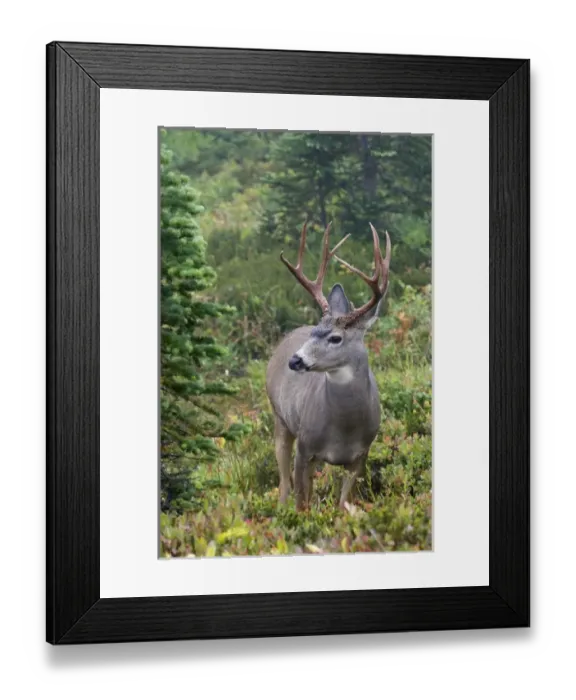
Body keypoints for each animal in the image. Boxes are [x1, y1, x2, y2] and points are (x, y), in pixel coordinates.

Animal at [265, 220, 391, 512]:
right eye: (315, 332)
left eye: (336, 338)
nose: (295, 360)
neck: (344, 429)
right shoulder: (305, 447)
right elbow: (301, 503)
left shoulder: (362, 453)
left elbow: (343, 503)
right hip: (280, 418)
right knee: (284, 483)